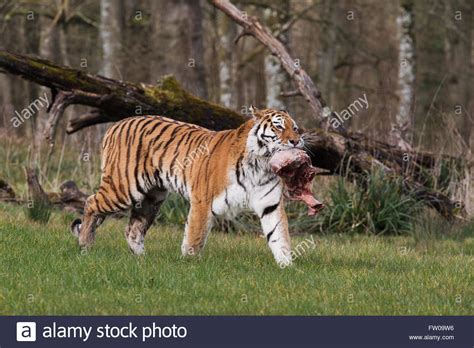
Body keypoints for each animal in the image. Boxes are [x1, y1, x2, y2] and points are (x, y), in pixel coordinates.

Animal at [70, 106, 304, 266]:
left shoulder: (270, 204)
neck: (260, 164)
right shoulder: (203, 200)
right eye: (278, 126)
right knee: (91, 202)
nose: (296, 141)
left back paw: (142, 259)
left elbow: (279, 235)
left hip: (152, 198)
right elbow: (195, 236)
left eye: (295, 128)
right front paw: (189, 265)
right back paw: (85, 244)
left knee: (133, 229)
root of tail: (115, 125)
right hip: (123, 188)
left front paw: (287, 266)